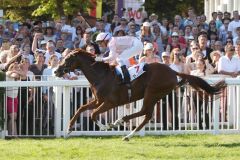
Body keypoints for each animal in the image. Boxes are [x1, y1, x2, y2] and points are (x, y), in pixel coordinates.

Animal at [55, 48, 226, 140]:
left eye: (68, 58)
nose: (56, 71)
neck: (101, 76)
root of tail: (173, 72)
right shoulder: (98, 100)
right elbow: (81, 109)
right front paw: (69, 128)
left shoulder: (110, 102)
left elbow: (93, 114)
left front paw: (106, 126)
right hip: (156, 95)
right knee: (147, 115)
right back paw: (127, 134)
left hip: (152, 92)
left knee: (145, 112)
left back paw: (120, 121)